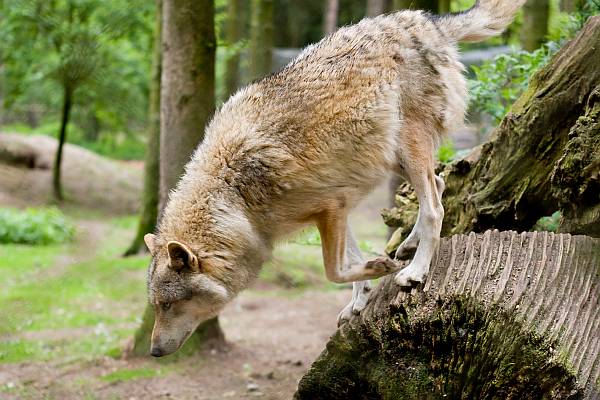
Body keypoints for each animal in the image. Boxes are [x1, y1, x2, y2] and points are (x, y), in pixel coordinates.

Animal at [144, 0, 524, 356]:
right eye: (157, 306)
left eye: (168, 305)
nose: (154, 351)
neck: (233, 194)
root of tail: (426, 21)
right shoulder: (338, 207)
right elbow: (348, 263)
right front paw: (360, 298)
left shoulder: (329, 208)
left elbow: (334, 270)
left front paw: (381, 267)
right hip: (395, 158)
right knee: (441, 185)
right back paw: (409, 245)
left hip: (409, 150)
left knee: (435, 209)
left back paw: (415, 270)